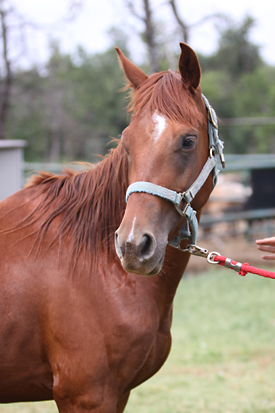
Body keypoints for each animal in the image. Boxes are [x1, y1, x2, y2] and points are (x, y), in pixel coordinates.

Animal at [0, 43, 223, 410]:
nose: (133, 245)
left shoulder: (118, 393)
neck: (92, 259)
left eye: (189, 141)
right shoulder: (88, 395)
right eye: (127, 141)